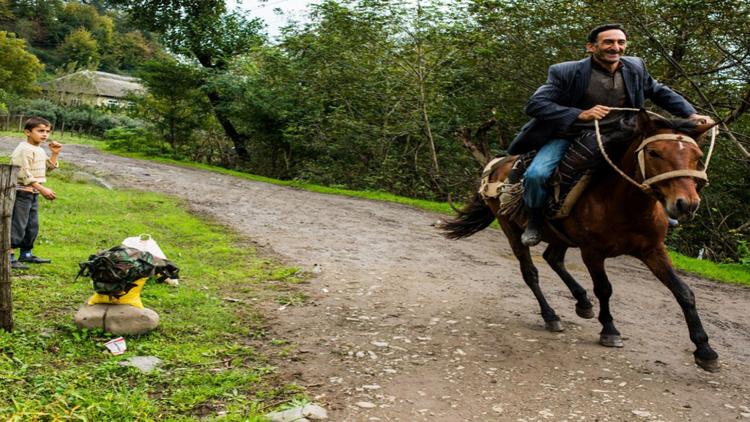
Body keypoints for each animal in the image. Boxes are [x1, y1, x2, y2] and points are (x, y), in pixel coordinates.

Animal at [444, 110, 720, 370]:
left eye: (697, 155)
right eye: (654, 153)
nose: (686, 204)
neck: (625, 203)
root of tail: (495, 167)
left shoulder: (653, 250)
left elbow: (684, 292)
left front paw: (705, 350)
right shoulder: (592, 252)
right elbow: (604, 289)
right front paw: (609, 330)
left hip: (560, 235)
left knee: (553, 258)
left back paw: (582, 301)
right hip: (512, 230)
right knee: (531, 272)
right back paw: (551, 316)